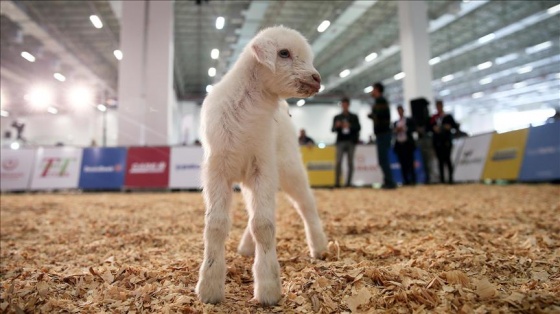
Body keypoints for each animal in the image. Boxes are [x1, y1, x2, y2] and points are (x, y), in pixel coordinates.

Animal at [196, 25, 328, 306]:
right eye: (284, 53)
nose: (316, 79)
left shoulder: (263, 168)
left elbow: (264, 225)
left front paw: (268, 288)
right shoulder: (217, 171)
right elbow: (216, 225)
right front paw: (209, 287)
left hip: (288, 166)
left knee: (306, 205)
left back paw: (320, 246)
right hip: (250, 178)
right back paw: (246, 247)